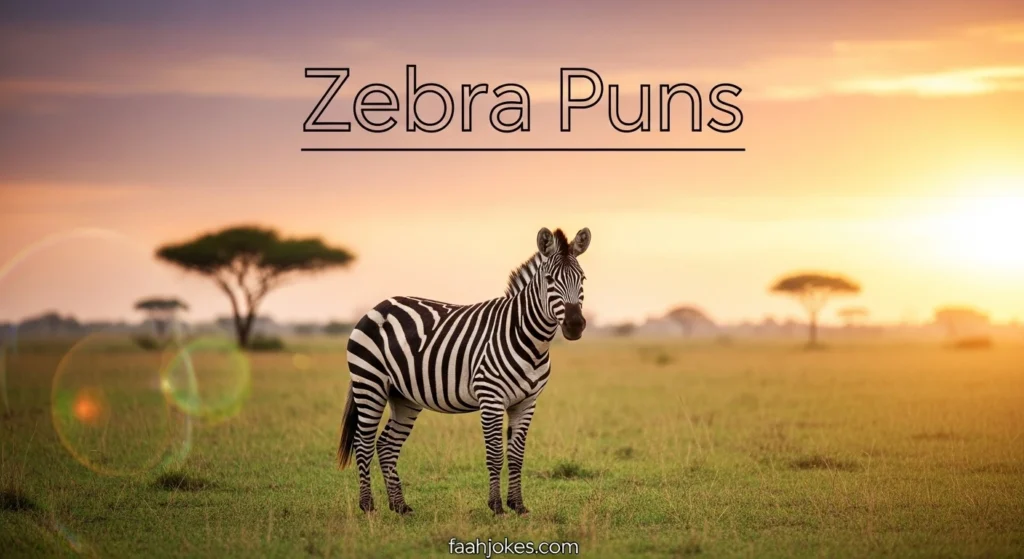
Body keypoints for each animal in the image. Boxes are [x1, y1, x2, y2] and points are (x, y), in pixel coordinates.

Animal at [336, 226, 591, 515]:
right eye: (549, 280)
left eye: (582, 278)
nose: (575, 325)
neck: (528, 338)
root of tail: (378, 306)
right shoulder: (490, 397)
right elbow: (495, 454)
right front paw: (497, 506)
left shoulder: (527, 402)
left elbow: (517, 455)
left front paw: (518, 505)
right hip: (369, 383)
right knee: (364, 443)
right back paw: (368, 506)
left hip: (403, 396)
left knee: (387, 445)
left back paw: (400, 506)